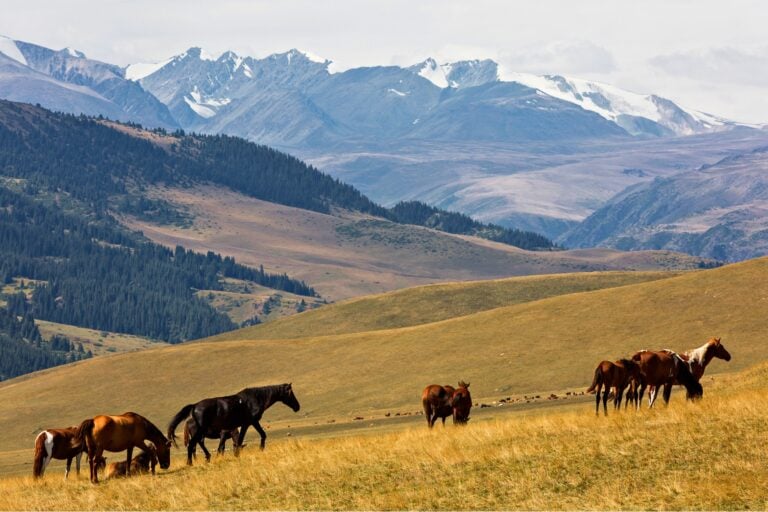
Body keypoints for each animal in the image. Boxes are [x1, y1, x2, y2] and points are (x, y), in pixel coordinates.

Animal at [167, 383, 300, 466]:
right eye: (290, 393)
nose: (297, 407)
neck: (255, 398)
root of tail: (194, 406)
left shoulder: (249, 424)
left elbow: (256, 436)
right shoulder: (248, 423)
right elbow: (243, 440)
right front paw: (255, 450)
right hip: (200, 431)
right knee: (192, 445)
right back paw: (190, 463)